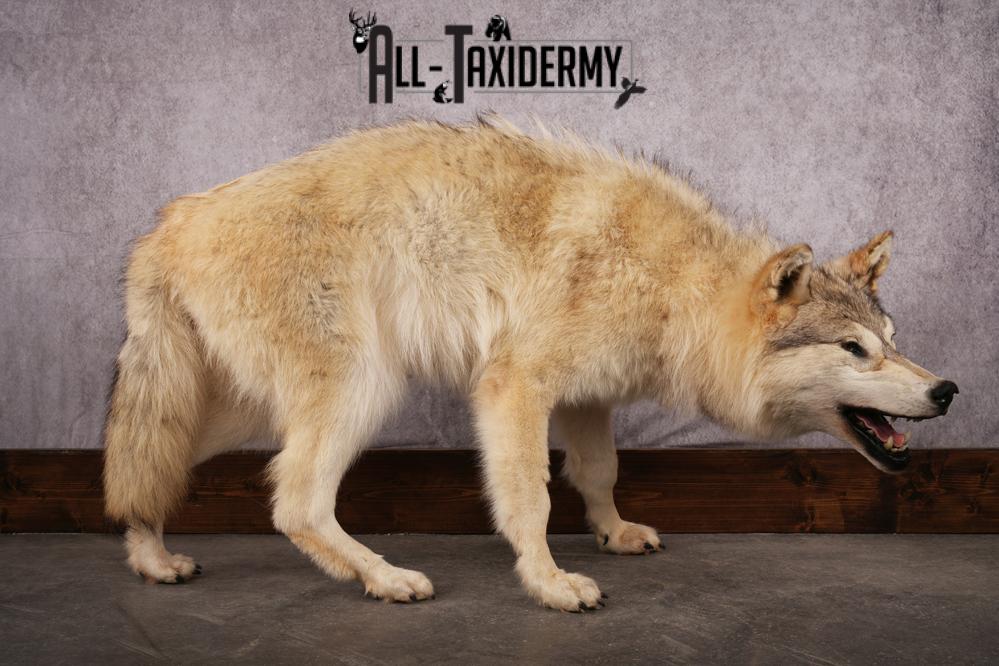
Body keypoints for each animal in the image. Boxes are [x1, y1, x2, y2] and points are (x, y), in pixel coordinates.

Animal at [103, 117, 957, 611]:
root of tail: (170, 222)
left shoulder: (586, 400)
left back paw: (151, 560)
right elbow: (531, 499)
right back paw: (384, 578)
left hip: (244, 409)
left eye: (891, 339)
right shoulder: (511, 389)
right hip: (362, 391)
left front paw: (612, 533)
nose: (947, 390)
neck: (674, 282)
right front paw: (548, 583)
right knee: (293, 505)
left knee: (147, 469)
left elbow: (599, 474)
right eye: (852, 351)